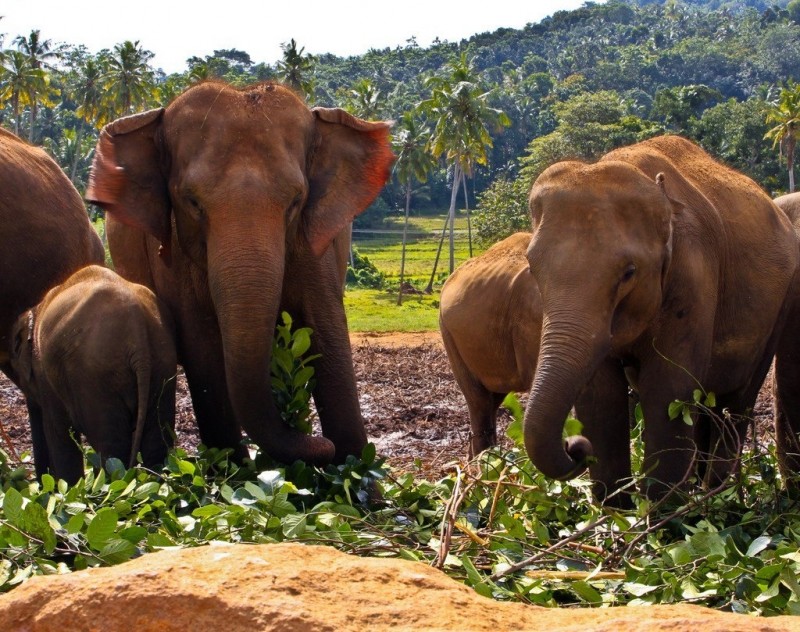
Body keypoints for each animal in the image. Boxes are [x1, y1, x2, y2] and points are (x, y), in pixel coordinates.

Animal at [11, 264, 177, 482]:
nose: (39, 482)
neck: (36, 309)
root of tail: (137, 331)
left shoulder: (44, 374)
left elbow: (58, 431)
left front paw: (68, 486)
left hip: (95, 376)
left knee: (110, 448)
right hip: (162, 363)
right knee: (156, 442)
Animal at [86, 79, 396, 466]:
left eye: (296, 201)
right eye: (192, 202)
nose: (322, 446)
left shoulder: (314, 243)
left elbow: (325, 328)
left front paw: (357, 473)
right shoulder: (176, 254)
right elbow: (201, 342)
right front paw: (235, 469)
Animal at [524, 136, 800, 502]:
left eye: (629, 273)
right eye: (531, 268)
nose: (575, 446)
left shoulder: (694, 275)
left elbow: (668, 388)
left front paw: (662, 511)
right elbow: (600, 396)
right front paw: (617, 510)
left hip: (780, 307)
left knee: (736, 400)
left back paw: (720, 498)